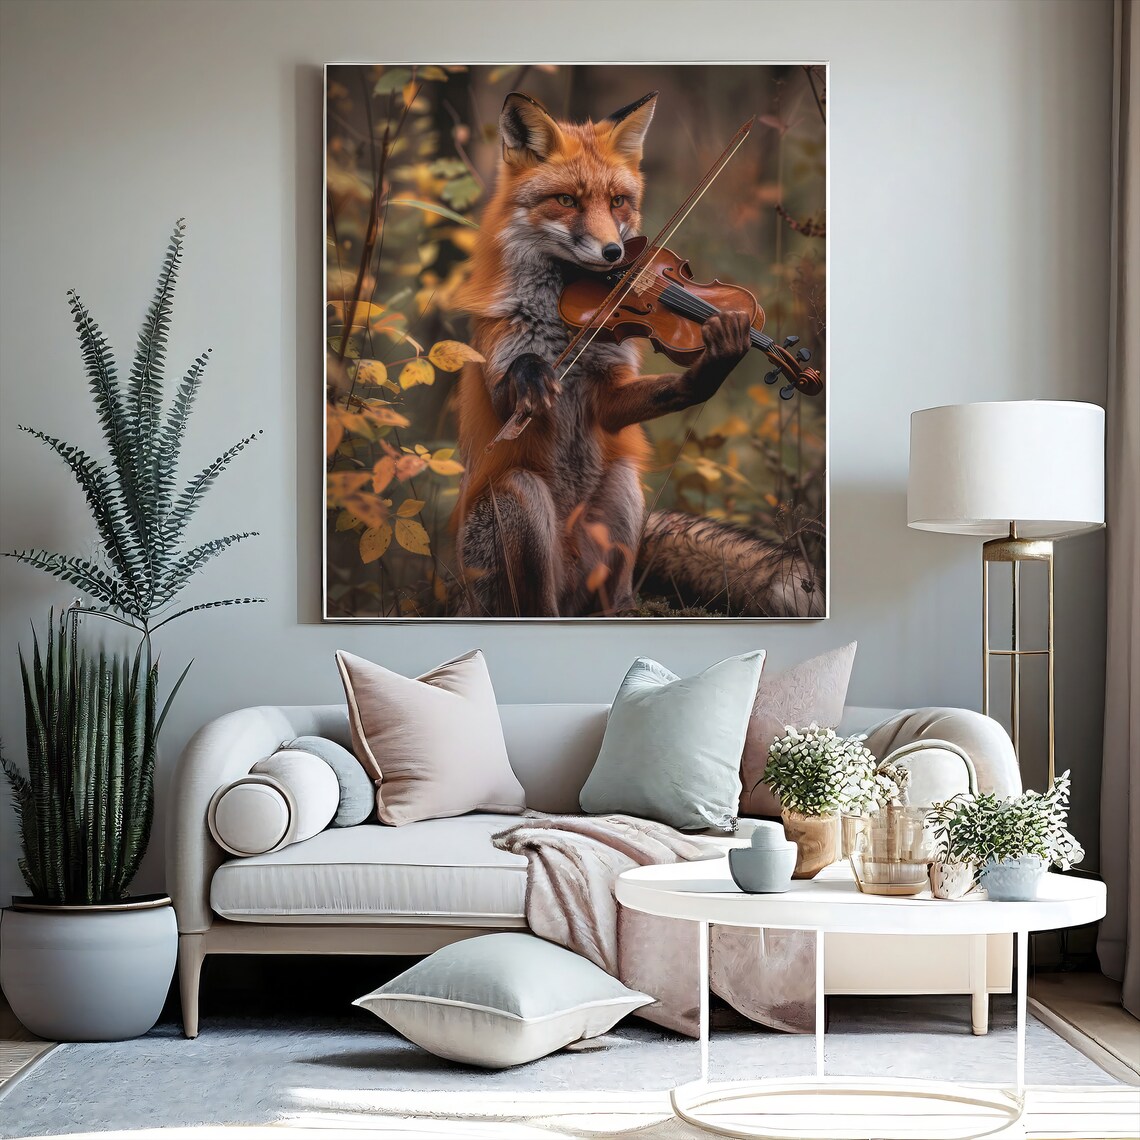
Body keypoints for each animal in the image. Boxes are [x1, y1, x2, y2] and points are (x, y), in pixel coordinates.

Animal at [450, 90, 822, 618]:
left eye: (617, 202)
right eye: (566, 201)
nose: (618, 261)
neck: (563, 328)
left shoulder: (608, 388)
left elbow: (648, 397)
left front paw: (715, 361)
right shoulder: (496, 370)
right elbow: (513, 392)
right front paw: (533, 375)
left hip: (624, 491)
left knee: (613, 594)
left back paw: (622, 610)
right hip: (518, 506)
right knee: (537, 605)